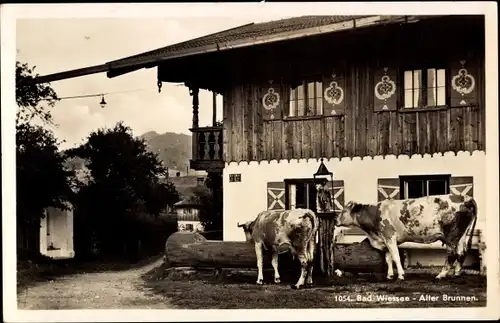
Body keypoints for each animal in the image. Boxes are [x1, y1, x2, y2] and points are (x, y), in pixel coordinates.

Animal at [332, 195, 476, 280]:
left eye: (344, 211)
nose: (335, 219)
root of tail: (466, 198)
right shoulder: (385, 240)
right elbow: (388, 259)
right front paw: (390, 275)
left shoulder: (390, 236)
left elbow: (395, 257)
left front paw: (400, 275)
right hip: (461, 235)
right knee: (461, 253)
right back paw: (456, 273)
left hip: (451, 236)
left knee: (452, 255)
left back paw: (441, 275)